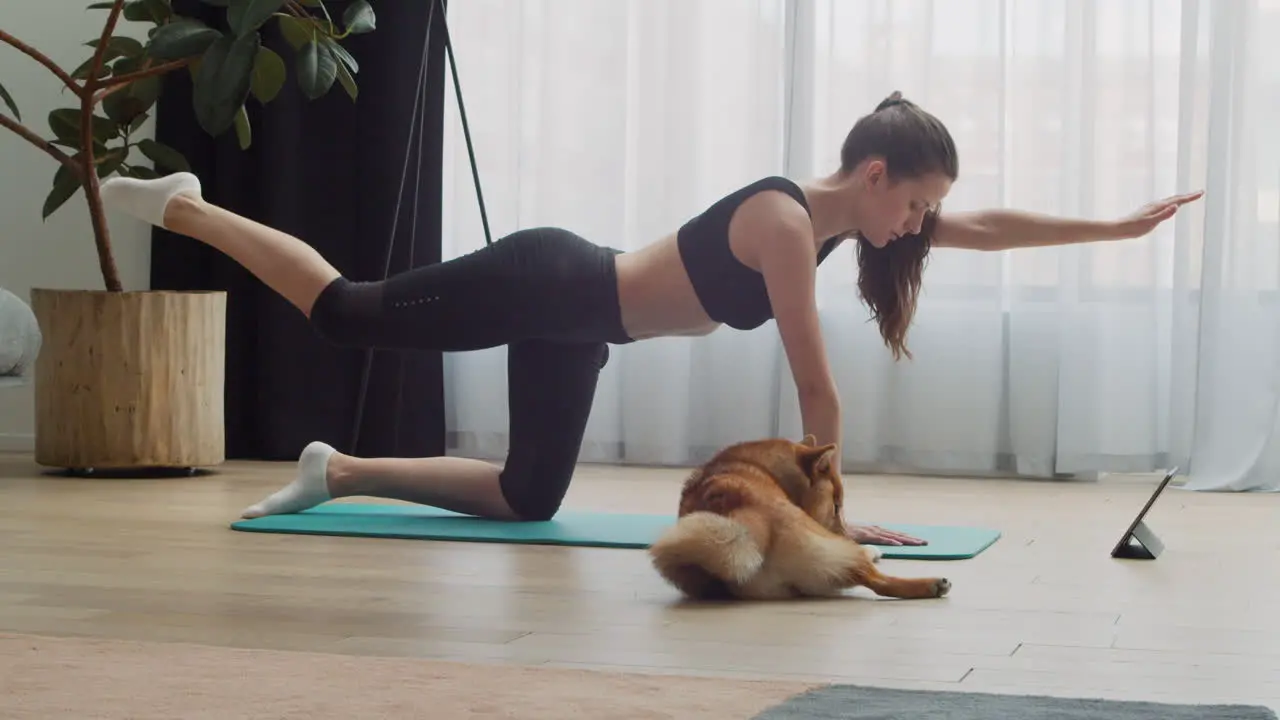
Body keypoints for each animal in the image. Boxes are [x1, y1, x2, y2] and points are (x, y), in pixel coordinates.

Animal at [650, 435, 952, 597]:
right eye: (837, 506)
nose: (845, 531)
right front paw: (870, 547)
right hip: (828, 551)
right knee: (878, 581)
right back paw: (932, 584)